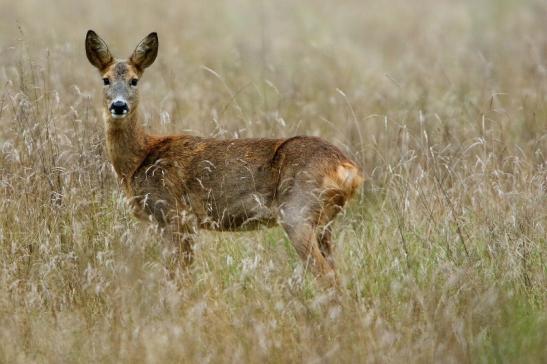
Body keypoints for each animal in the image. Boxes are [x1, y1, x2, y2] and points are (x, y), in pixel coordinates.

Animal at [85, 29, 366, 286]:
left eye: (134, 80)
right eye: (105, 80)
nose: (118, 105)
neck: (139, 159)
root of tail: (349, 169)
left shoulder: (174, 214)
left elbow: (177, 276)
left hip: (297, 212)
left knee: (326, 275)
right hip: (324, 223)